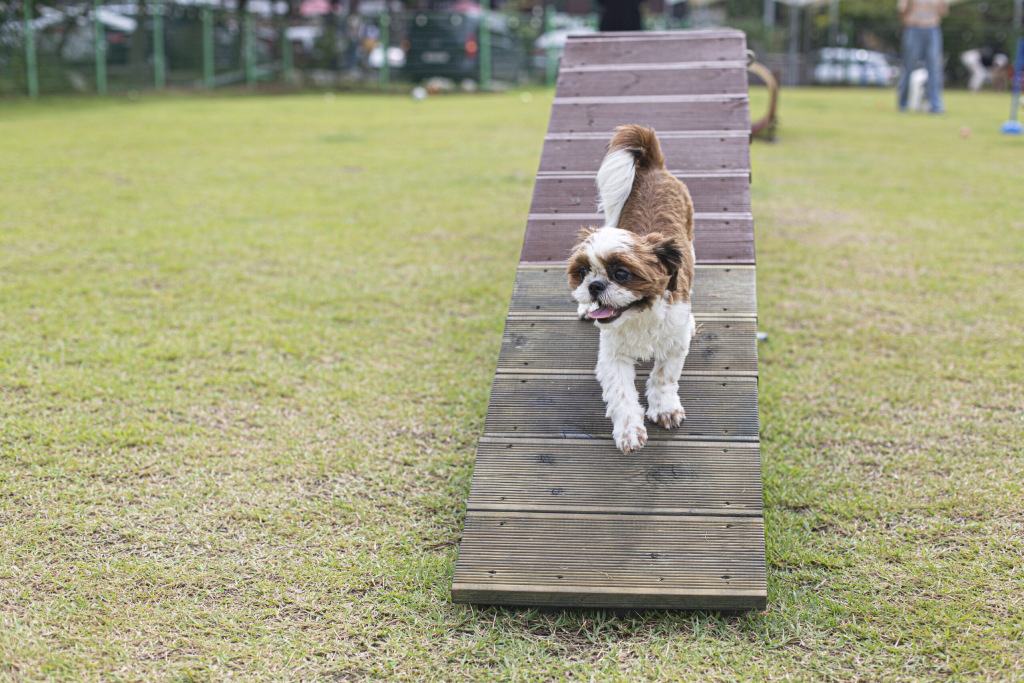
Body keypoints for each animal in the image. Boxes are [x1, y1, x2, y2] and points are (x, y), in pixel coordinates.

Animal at [569, 125, 696, 456]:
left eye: (621, 274)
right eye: (583, 272)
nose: (594, 286)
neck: (640, 314)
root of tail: (654, 168)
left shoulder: (674, 344)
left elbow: (664, 376)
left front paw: (664, 407)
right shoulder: (613, 356)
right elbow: (622, 394)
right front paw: (628, 430)